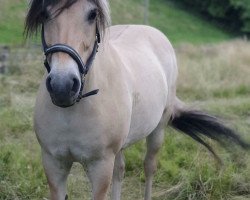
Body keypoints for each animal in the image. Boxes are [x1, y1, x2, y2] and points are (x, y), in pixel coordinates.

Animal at [23, 0, 250, 200]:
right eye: (44, 14)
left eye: (92, 14)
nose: (62, 86)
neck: (73, 111)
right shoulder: (53, 164)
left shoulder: (100, 167)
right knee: (120, 171)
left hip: (158, 129)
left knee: (149, 167)